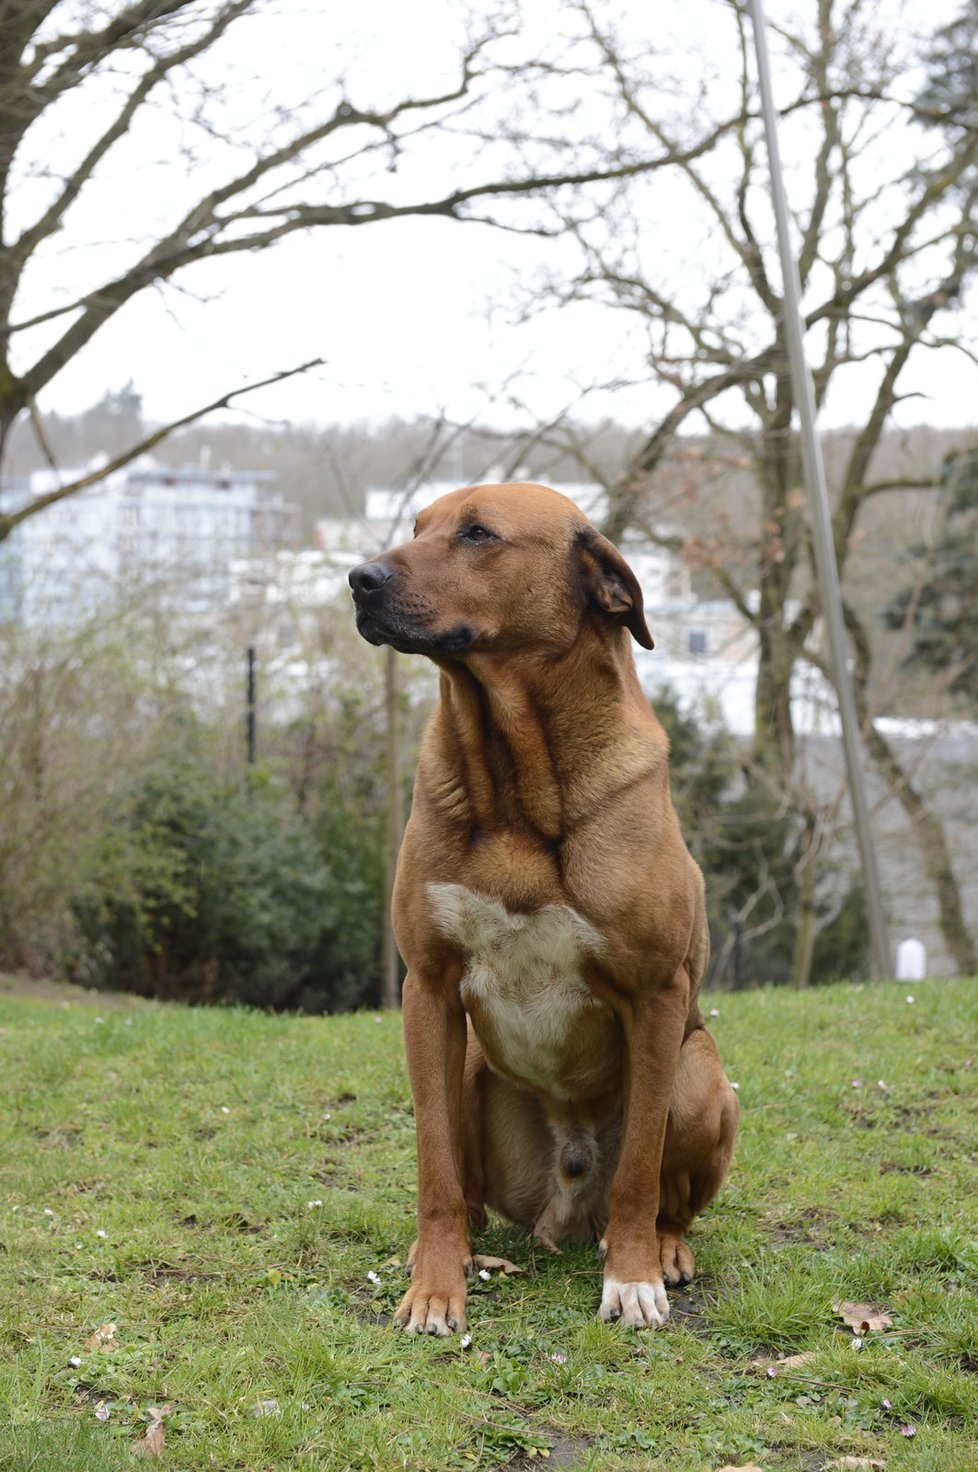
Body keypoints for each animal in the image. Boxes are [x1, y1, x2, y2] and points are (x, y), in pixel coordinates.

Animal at [347, 482, 736, 1336]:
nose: (359, 579)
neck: (512, 776)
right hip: (468, 1064)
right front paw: (434, 1286)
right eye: (418, 526)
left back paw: (661, 1247)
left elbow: (639, 1172)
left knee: (661, 1193)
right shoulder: (427, 988)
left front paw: (632, 1280)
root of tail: (568, 1204)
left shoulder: (658, 998)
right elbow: (433, 1167)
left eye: (478, 534)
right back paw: (464, 1247)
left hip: (700, 1076)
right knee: (467, 1190)